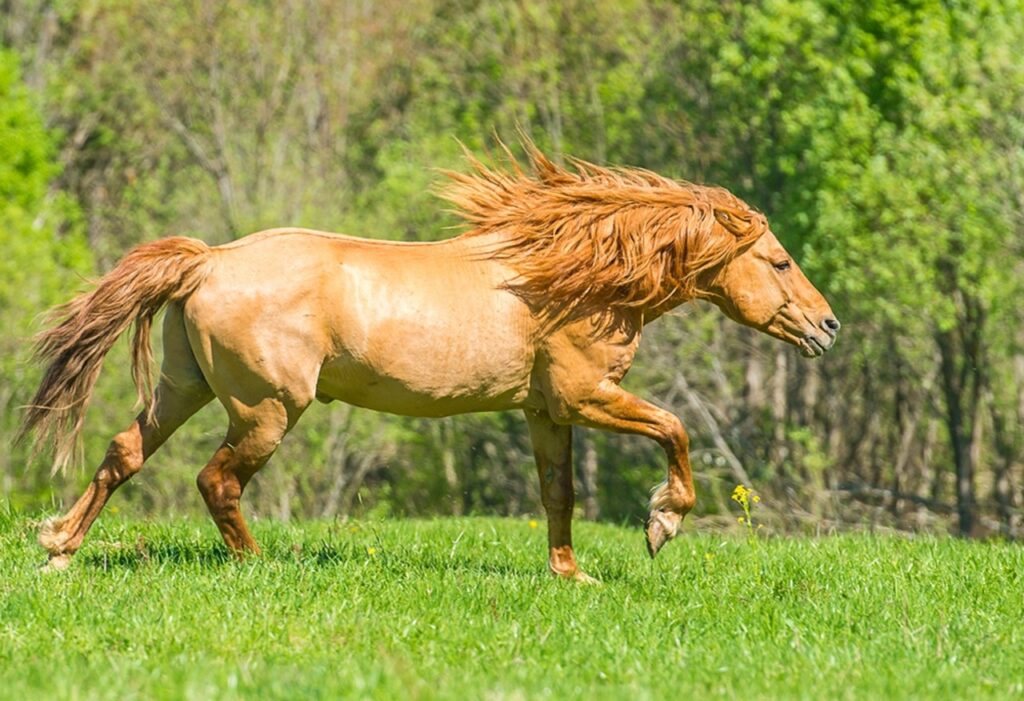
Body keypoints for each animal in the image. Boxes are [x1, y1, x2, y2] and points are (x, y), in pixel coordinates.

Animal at [20, 145, 839, 580]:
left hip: (183, 387)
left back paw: (60, 548)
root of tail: (209, 261)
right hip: (268, 410)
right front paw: (661, 523)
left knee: (124, 453)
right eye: (779, 260)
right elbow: (675, 430)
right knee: (216, 480)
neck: (568, 278)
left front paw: (571, 574)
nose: (828, 327)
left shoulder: (545, 410)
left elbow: (560, 494)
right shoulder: (586, 394)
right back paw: (260, 562)